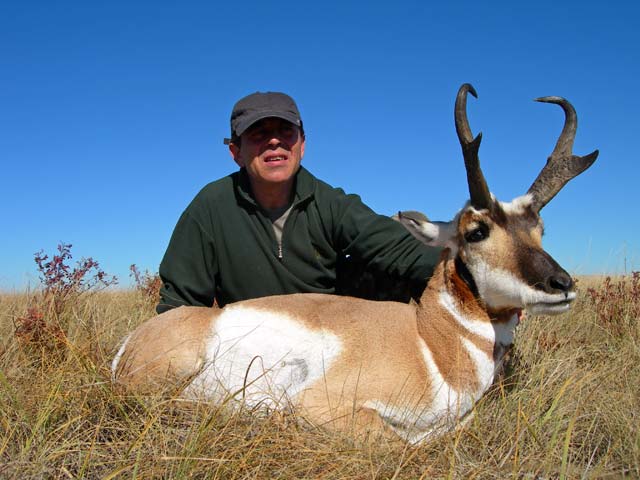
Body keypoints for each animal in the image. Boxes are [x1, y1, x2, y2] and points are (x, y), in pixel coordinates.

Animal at [112, 84, 596, 444]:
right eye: (476, 231)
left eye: (540, 229)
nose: (561, 284)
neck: (430, 339)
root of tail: (130, 343)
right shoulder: (321, 406)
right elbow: (398, 440)